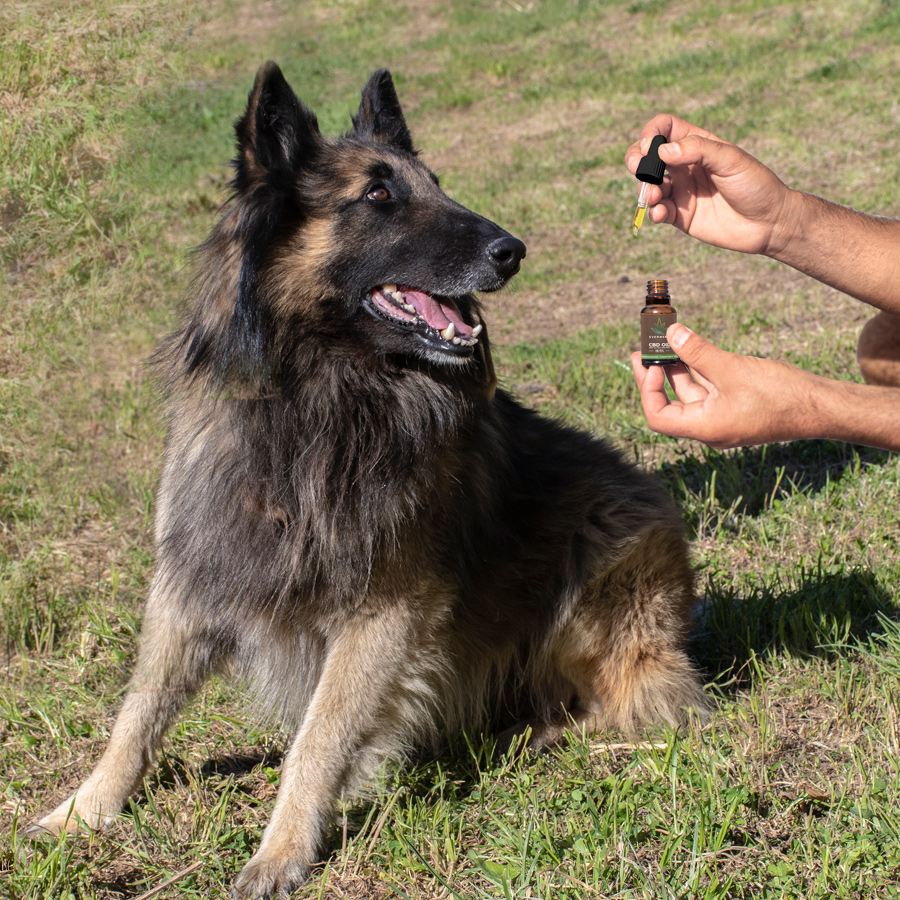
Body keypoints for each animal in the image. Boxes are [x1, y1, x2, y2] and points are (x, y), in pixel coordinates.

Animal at [29, 65, 712, 900]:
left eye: (437, 186)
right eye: (379, 195)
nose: (512, 251)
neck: (323, 396)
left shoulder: (386, 610)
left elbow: (319, 737)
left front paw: (283, 851)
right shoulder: (199, 572)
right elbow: (139, 711)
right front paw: (85, 810)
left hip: (599, 553)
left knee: (640, 696)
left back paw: (532, 730)